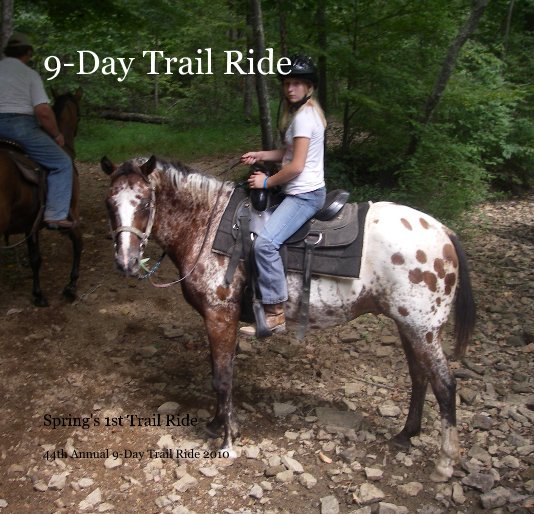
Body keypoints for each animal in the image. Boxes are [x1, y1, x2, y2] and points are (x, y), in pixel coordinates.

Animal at [0, 89, 84, 304]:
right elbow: (78, 243)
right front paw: (71, 285)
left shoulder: (30, 224)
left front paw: (38, 294)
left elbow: (35, 259)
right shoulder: (72, 213)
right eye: (79, 116)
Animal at [102, 153, 480, 480]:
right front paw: (218, 425)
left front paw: (226, 441)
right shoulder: (220, 320)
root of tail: (444, 232)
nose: (125, 262)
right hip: (407, 325)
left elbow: (221, 378)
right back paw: (406, 433)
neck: (206, 226)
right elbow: (221, 371)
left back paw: (445, 462)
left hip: (423, 328)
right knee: (419, 377)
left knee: (445, 384)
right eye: (109, 204)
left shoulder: (219, 316)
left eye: (144, 203)